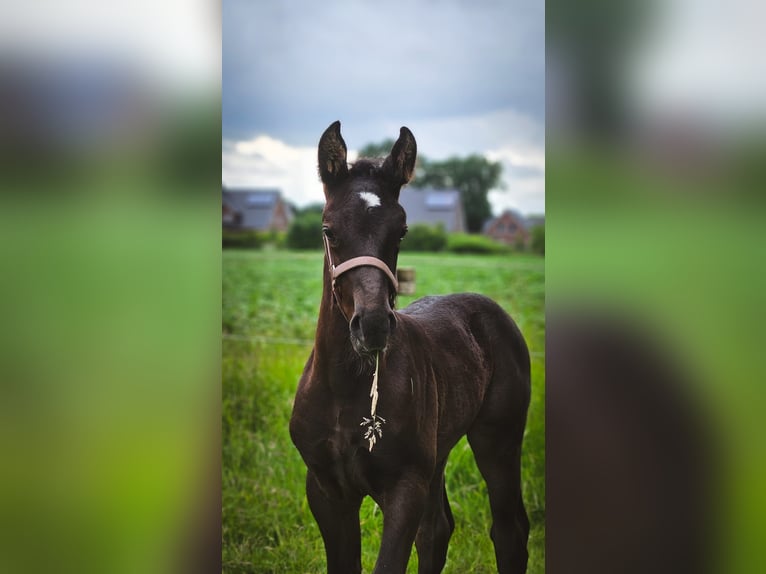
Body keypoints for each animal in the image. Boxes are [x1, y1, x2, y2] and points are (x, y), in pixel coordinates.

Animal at [292, 122, 532, 574]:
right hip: (438, 454)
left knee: (510, 530)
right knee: (437, 531)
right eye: (328, 230)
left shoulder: (405, 487)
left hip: (498, 441)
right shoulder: (327, 491)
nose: (371, 326)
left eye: (401, 231)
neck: (346, 389)